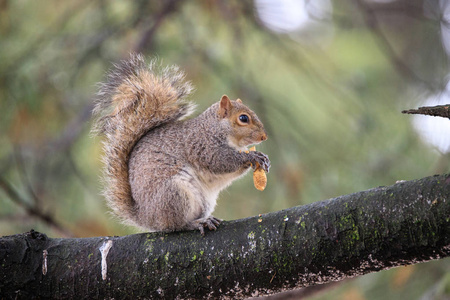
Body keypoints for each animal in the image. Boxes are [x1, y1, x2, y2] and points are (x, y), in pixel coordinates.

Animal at [89, 54, 268, 237]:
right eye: (243, 118)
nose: (264, 136)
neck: (214, 128)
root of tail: (145, 216)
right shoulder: (202, 145)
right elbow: (220, 161)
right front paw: (251, 156)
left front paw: (261, 158)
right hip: (174, 194)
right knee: (175, 225)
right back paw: (195, 223)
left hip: (203, 201)